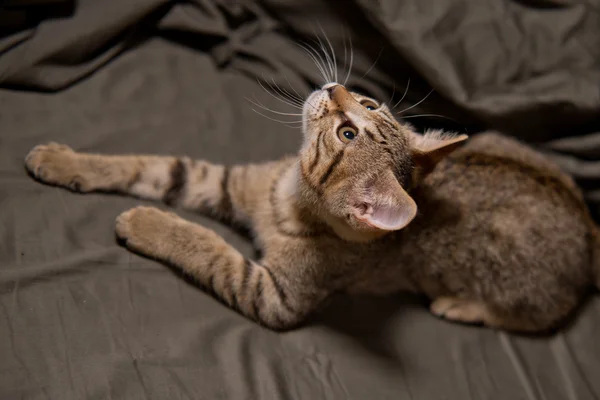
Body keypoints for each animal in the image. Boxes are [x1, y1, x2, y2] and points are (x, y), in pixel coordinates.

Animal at [24, 83, 600, 332]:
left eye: (348, 131)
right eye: (368, 104)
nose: (335, 84)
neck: (288, 194)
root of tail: (590, 228)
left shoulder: (273, 296)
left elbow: (207, 246)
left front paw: (145, 222)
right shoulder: (224, 182)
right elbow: (153, 166)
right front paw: (62, 160)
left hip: (521, 289)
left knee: (537, 318)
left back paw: (460, 306)